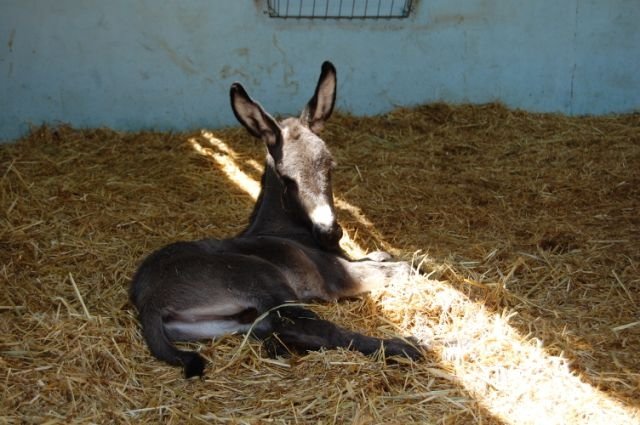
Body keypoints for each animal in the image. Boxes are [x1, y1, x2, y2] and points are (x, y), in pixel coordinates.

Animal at [129, 61, 420, 376]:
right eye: (287, 178)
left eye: (329, 165)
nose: (330, 231)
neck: (294, 232)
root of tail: (148, 302)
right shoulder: (336, 277)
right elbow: (401, 268)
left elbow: (378, 256)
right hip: (260, 275)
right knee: (310, 326)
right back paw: (403, 347)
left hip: (231, 321)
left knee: (278, 330)